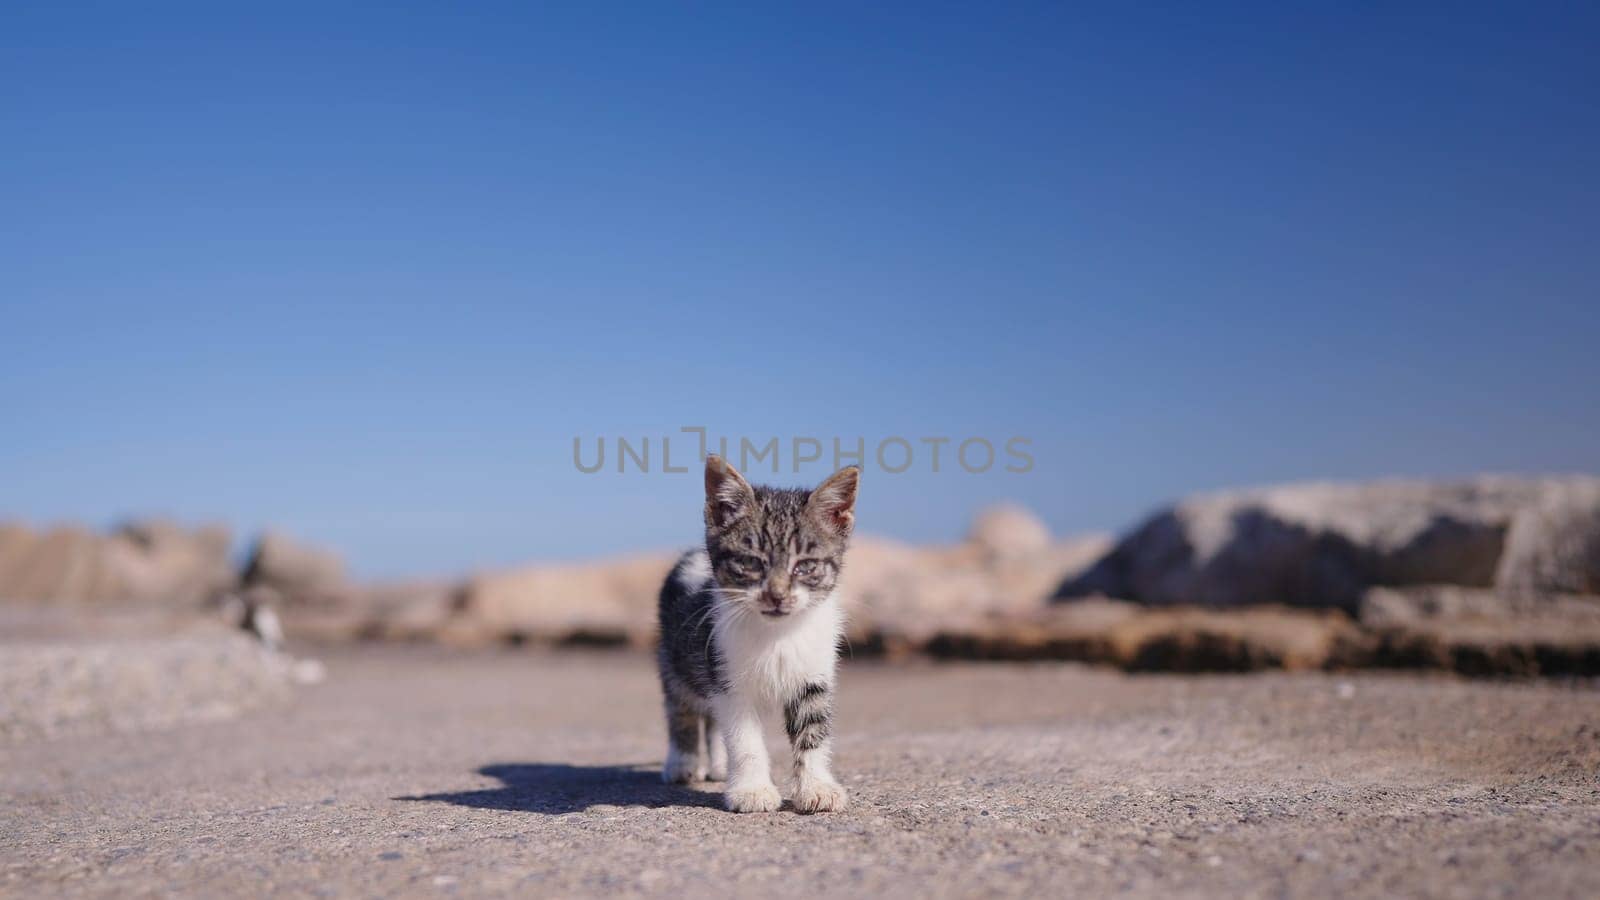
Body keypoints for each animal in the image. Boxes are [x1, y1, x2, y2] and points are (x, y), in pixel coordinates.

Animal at [656, 451, 864, 810]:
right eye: (752, 562)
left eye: (805, 565)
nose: (777, 595)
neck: (776, 635)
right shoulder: (728, 678)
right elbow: (744, 739)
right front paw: (752, 790)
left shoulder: (814, 675)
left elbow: (813, 731)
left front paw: (817, 787)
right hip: (677, 660)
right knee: (681, 708)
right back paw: (682, 763)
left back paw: (718, 766)